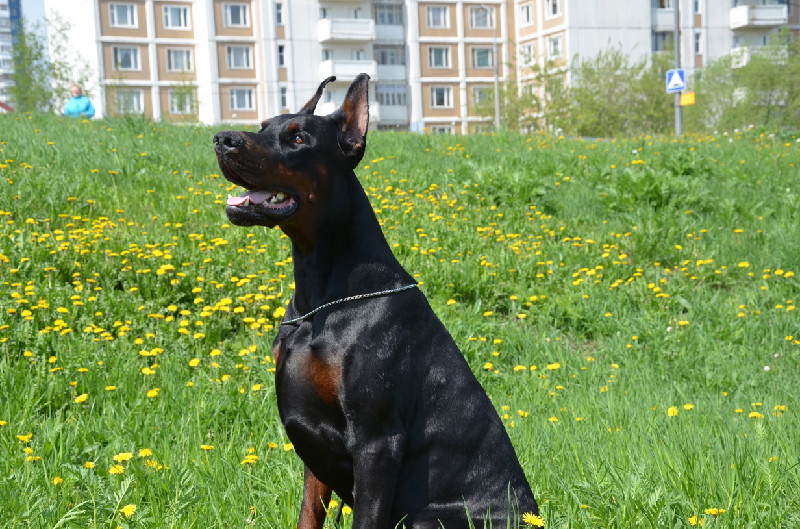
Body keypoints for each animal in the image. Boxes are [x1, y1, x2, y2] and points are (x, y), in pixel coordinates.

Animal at [213, 74, 538, 529]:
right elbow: (308, 516)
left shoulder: (376, 441)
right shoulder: (315, 449)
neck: (323, 300)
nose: (222, 139)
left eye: (298, 138)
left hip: (428, 517)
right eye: (263, 126)